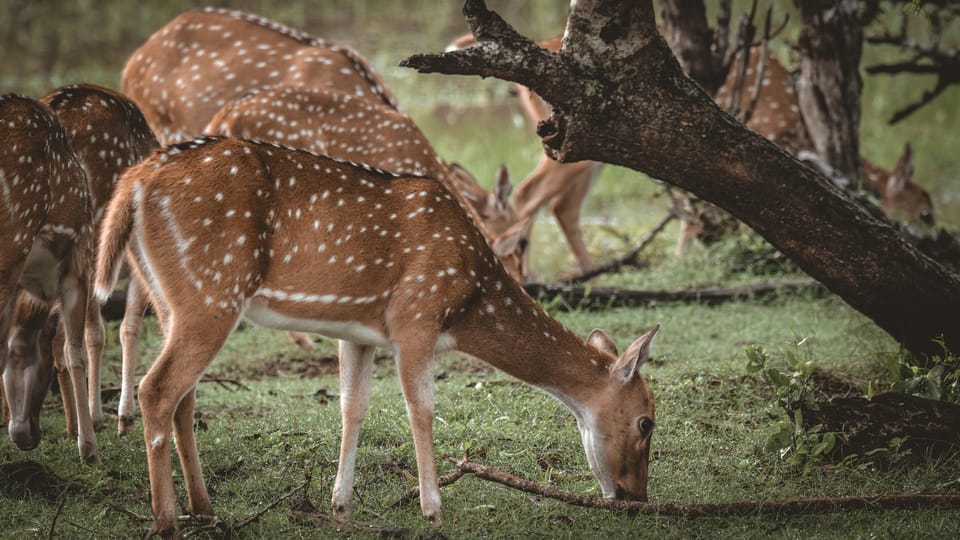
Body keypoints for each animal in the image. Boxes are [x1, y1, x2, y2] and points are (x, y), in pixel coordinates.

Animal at [92, 137, 660, 536]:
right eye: (646, 421)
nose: (637, 498)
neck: (469, 298)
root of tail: (133, 181)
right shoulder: (416, 317)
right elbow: (421, 409)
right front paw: (433, 509)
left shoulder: (357, 332)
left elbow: (353, 407)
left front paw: (340, 506)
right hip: (210, 291)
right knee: (156, 389)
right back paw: (166, 521)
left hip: (169, 296)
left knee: (182, 396)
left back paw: (205, 509)